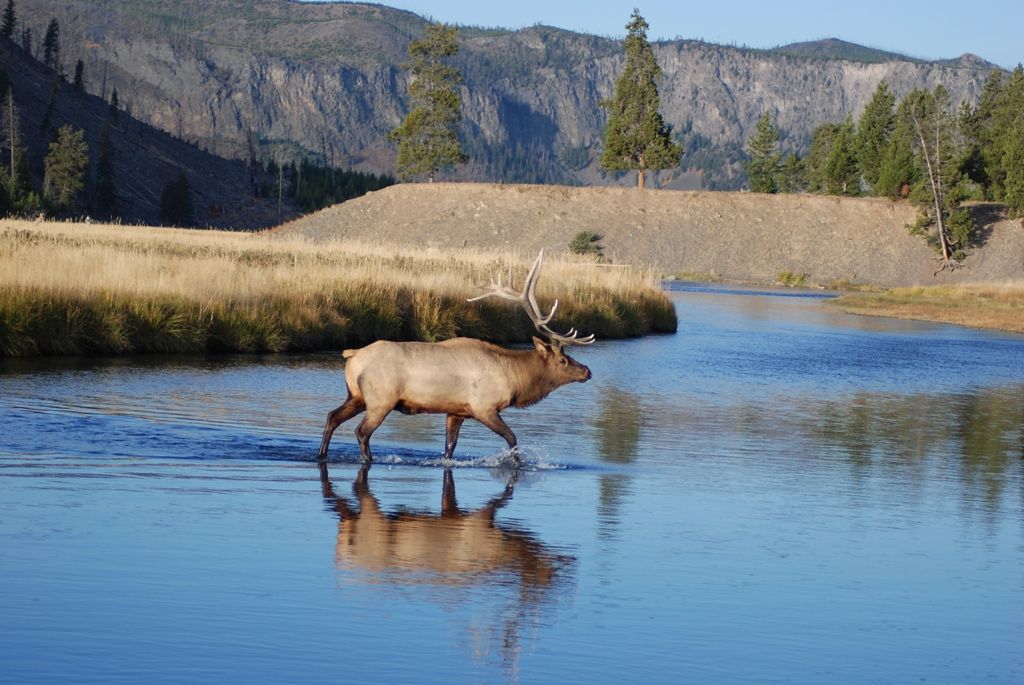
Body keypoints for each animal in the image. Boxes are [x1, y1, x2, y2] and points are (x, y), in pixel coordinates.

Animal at [317, 250, 593, 464]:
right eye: (563, 360)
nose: (587, 371)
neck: (515, 379)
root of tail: (352, 355)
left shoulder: (456, 411)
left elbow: (449, 448)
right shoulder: (484, 407)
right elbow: (512, 438)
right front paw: (517, 463)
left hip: (356, 396)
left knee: (332, 417)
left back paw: (321, 454)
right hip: (380, 400)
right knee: (361, 432)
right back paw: (368, 459)